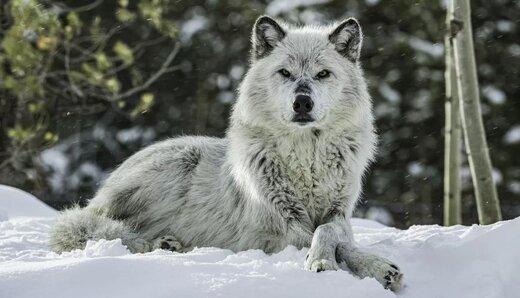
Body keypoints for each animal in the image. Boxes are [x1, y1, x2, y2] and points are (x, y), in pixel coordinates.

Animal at [49, 14, 402, 292]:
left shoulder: (340, 213)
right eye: (285, 73)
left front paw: (375, 266)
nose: (302, 102)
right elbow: (328, 240)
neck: (305, 159)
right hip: (175, 165)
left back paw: (169, 244)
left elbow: (331, 232)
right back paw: (160, 244)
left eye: (323, 74)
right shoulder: (273, 231)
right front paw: (326, 262)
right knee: (110, 230)